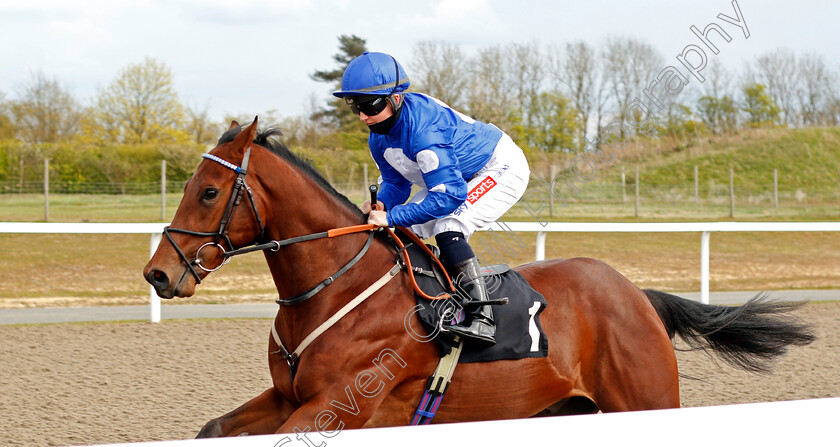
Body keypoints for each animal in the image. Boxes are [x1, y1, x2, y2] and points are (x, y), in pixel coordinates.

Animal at [143, 118, 812, 438]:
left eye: (208, 191)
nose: (158, 273)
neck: (336, 290)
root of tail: (634, 294)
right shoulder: (288, 397)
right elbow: (212, 429)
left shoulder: (337, 405)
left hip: (644, 397)